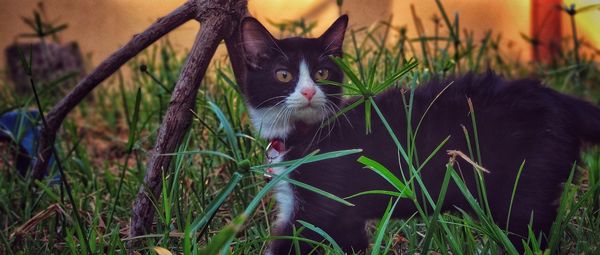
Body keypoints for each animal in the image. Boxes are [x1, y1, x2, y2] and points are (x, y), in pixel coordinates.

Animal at [238, 14, 600, 254]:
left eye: (323, 73)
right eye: (283, 75)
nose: (310, 92)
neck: (301, 135)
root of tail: (556, 97)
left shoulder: (322, 200)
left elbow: (294, 239)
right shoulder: (339, 214)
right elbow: (350, 240)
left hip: (523, 182)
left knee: (529, 228)